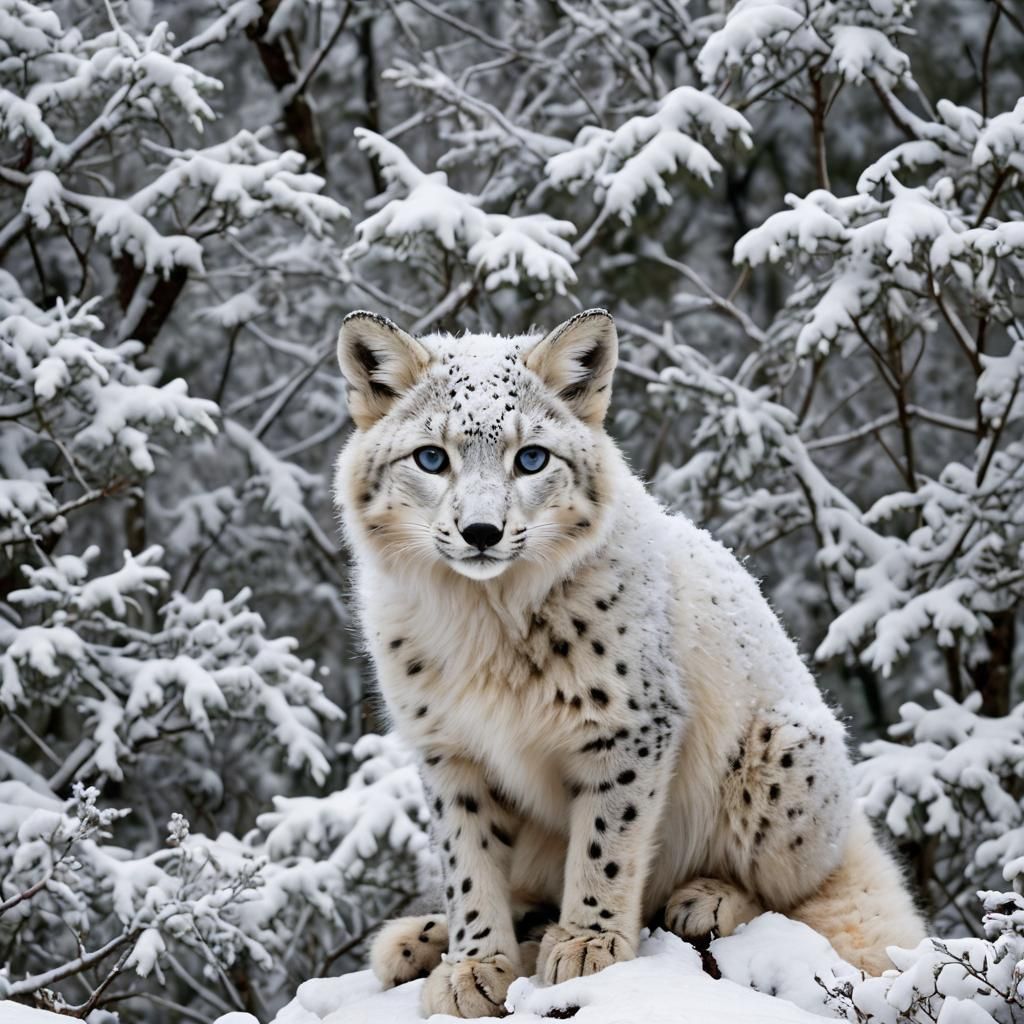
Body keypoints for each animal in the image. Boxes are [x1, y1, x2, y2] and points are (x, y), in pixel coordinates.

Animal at [333, 307, 925, 1018]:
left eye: (531, 458)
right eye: (431, 458)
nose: (481, 532)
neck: (483, 624)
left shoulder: (627, 726)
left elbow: (605, 843)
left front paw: (588, 942)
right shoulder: (448, 750)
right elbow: (469, 864)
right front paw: (474, 964)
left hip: (787, 752)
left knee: (795, 894)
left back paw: (707, 900)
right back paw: (420, 940)